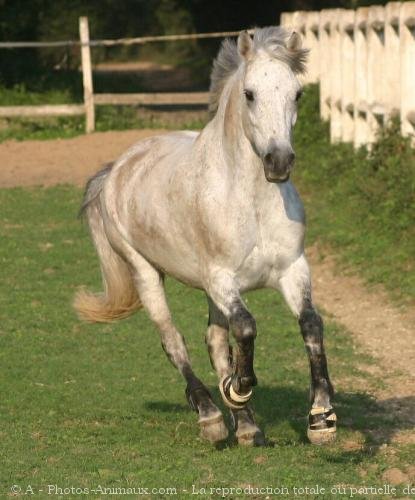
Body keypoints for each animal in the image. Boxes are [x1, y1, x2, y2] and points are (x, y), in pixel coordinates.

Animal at [73, 27, 336, 448]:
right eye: (249, 94)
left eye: (297, 93)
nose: (278, 162)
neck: (252, 201)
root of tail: (118, 168)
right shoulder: (220, 278)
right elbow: (246, 327)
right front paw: (239, 388)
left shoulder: (293, 269)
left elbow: (310, 324)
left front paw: (321, 417)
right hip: (145, 272)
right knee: (174, 341)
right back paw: (212, 416)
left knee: (214, 342)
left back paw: (246, 427)